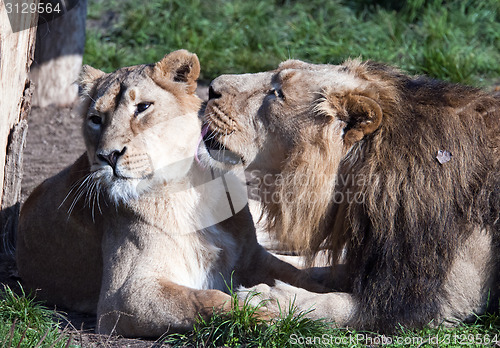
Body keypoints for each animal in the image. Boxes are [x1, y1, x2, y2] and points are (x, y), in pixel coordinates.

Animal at [15, 51, 324, 338]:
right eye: (94, 120)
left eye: (143, 107)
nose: (108, 156)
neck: (189, 187)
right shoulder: (124, 296)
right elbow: (204, 299)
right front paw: (266, 314)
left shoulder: (252, 256)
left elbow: (296, 275)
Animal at [200, 59, 500, 332]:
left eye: (278, 93)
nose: (212, 87)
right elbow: (321, 271)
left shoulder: (444, 298)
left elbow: (333, 303)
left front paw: (264, 299)